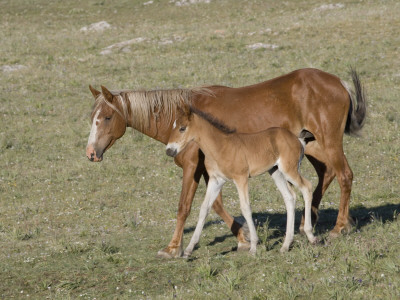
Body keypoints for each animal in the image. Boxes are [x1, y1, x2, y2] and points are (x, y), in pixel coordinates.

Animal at [86, 68, 366, 258]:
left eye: (108, 117)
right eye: (92, 117)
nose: (91, 153)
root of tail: (338, 82)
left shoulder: (192, 168)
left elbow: (184, 206)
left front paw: (173, 247)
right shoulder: (212, 172)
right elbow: (215, 206)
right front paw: (243, 238)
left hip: (328, 143)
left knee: (344, 175)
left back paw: (339, 227)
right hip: (312, 147)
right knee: (325, 174)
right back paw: (308, 224)